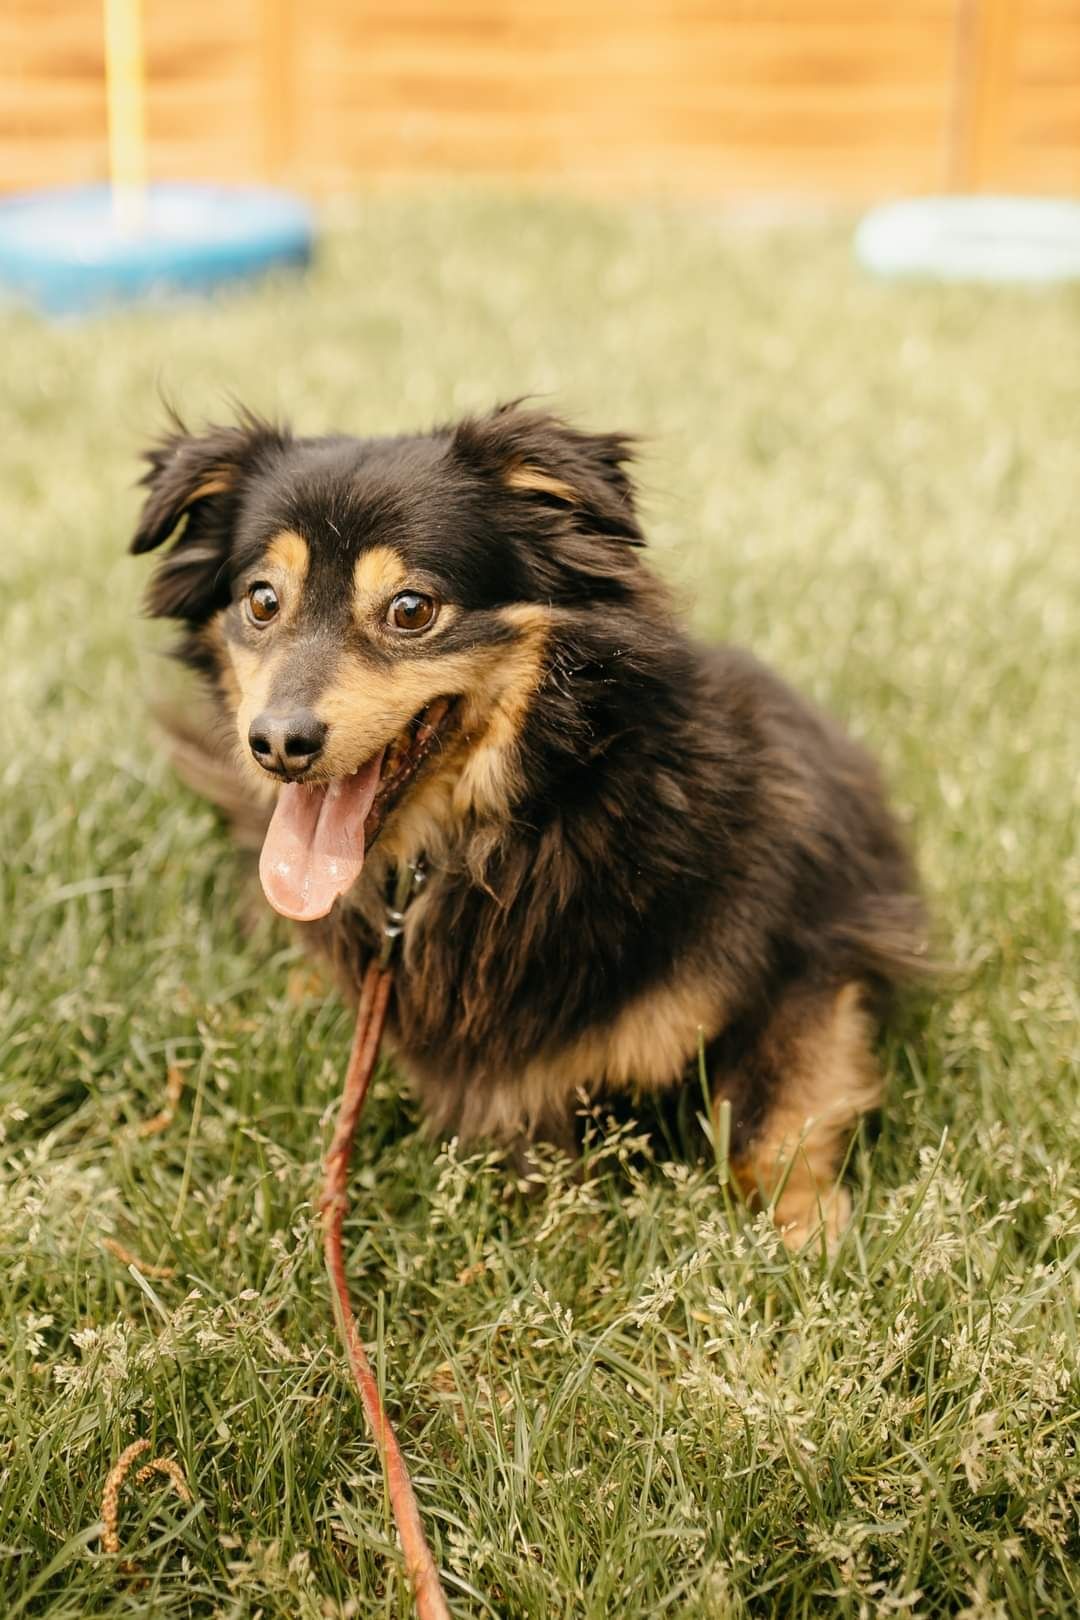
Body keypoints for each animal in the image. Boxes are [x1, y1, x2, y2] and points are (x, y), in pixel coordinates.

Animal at [131, 405, 926, 1250]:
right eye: (261, 601)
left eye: (411, 610)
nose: (279, 743)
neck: (527, 813)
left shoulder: (809, 950)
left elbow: (767, 1121)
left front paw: (812, 1233)